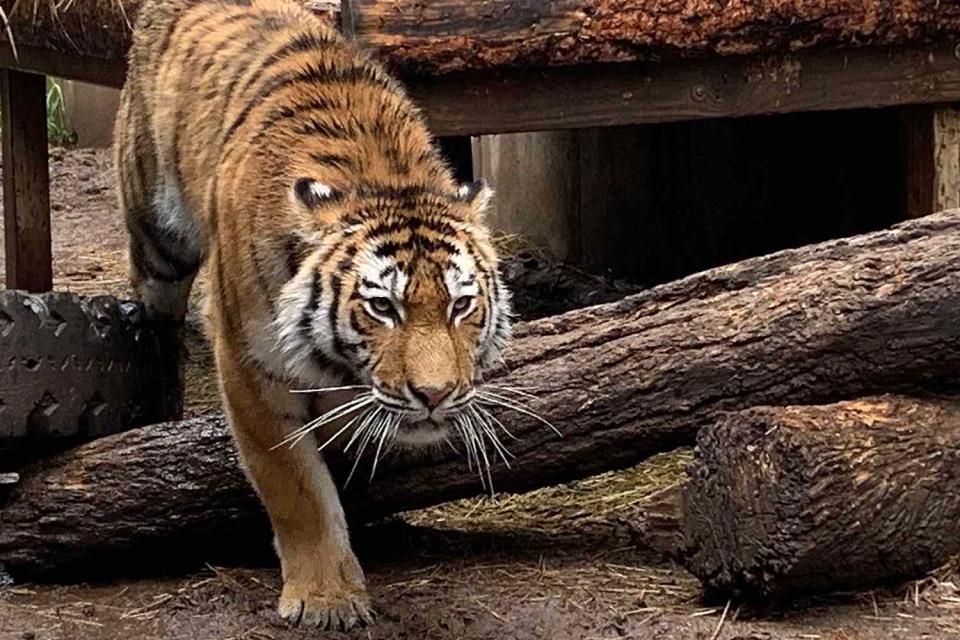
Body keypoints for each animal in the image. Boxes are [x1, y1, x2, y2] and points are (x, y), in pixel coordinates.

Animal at [115, 0, 512, 632]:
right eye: (382, 307)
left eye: (461, 305)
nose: (434, 394)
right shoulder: (250, 367)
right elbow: (296, 486)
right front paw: (326, 598)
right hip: (158, 235)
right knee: (155, 320)